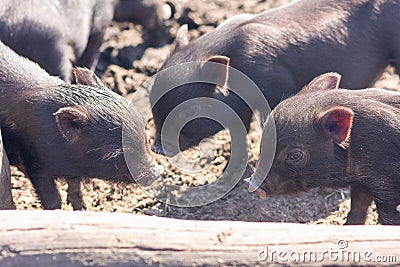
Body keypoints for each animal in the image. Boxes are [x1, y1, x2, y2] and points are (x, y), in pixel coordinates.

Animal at [0, 40, 163, 210]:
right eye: (114, 150)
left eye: (144, 136)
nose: (158, 171)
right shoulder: (33, 160)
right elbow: (51, 197)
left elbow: (75, 187)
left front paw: (83, 208)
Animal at [247, 73, 400, 226]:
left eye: (294, 156)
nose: (252, 183)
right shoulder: (363, 183)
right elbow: (357, 209)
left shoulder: (386, 187)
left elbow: (388, 219)